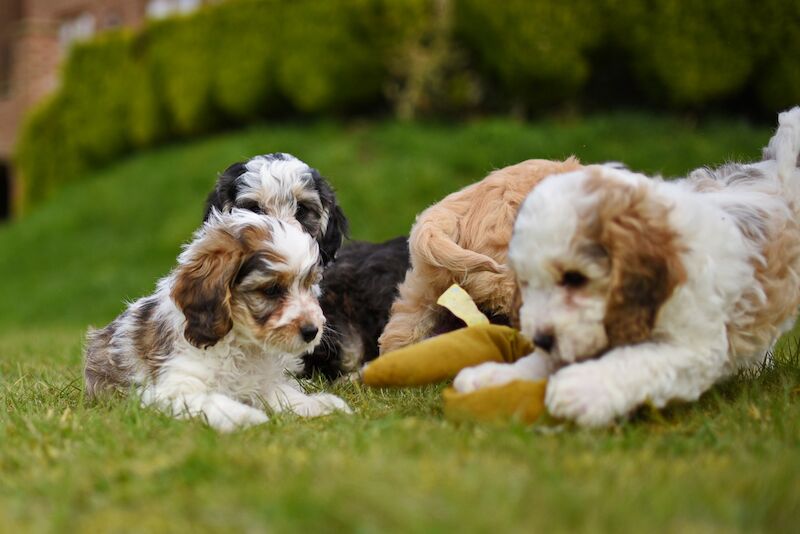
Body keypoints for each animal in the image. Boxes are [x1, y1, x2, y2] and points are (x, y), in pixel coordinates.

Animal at [84, 208, 354, 432]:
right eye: (272, 290)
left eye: (309, 285)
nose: (312, 331)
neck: (240, 343)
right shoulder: (173, 389)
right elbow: (211, 400)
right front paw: (245, 416)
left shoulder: (261, 382)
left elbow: (284, 394)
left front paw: (319, 405)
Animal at [454, 107, 800, 430]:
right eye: (526, 283)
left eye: (575, 278)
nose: (540, 339)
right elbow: (541, 362)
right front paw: (493, 378)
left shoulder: (694, 345)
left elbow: (637, 361)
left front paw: (582, 388)